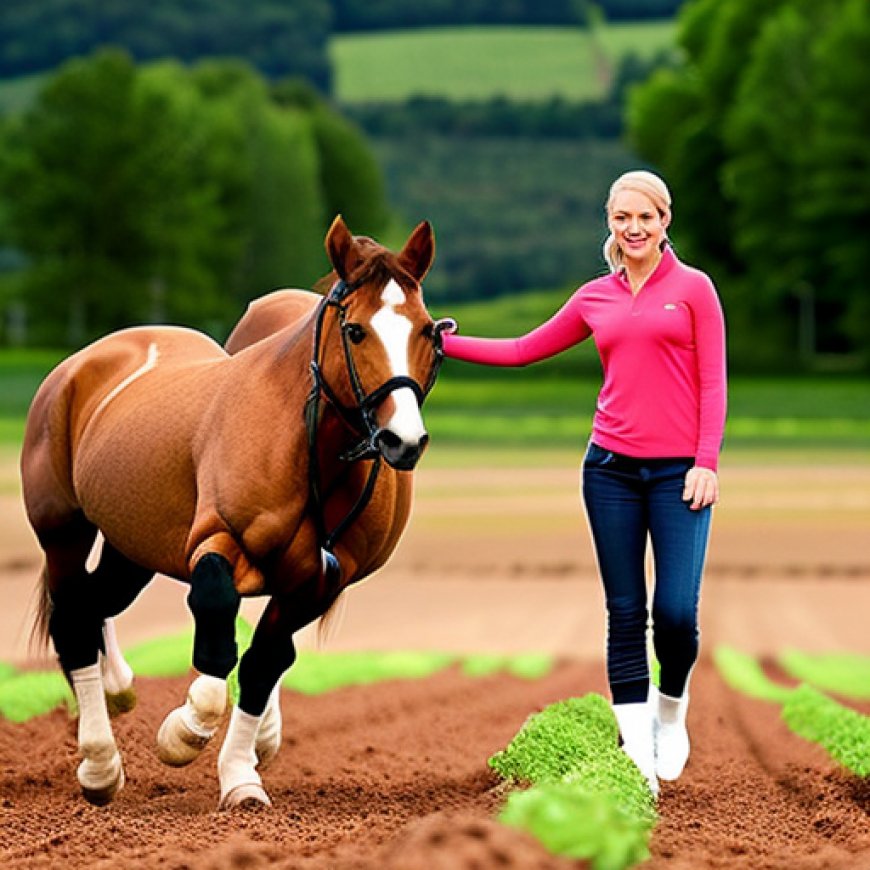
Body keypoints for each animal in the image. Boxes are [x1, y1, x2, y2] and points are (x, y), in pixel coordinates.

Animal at [20, 216, 442, 812]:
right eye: (357, 331)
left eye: (428, 331)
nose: (402, 440)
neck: (309, 450)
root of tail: (83, 365)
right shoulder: (219, 538)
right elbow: (218, 623)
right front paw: (184, 730)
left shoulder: (319, 580)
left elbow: (265, 662)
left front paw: (241, 776)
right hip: (63, 528)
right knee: (72, 619)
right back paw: (100, 763)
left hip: (132, 546)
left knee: (93, 602)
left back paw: (119, 687)